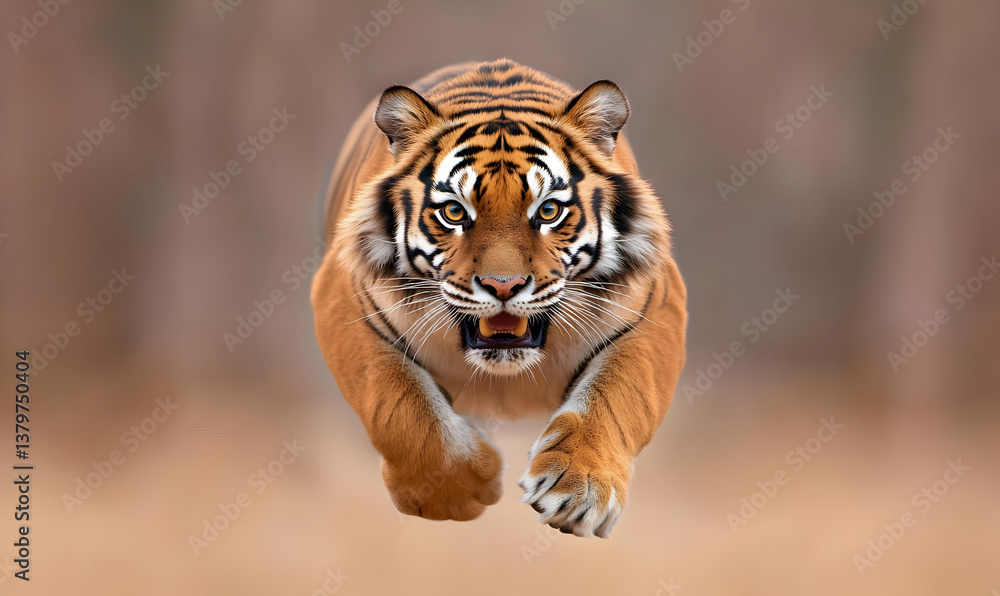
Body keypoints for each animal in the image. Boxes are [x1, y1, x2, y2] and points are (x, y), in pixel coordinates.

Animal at [311, 59, 687, 538]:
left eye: (549, 211)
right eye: (454, 212)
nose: (503, 285)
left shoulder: (655, 307)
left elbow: (617, 394)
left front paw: (580, 490)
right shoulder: (344, 299)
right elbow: (398, 402)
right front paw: (457, 490)